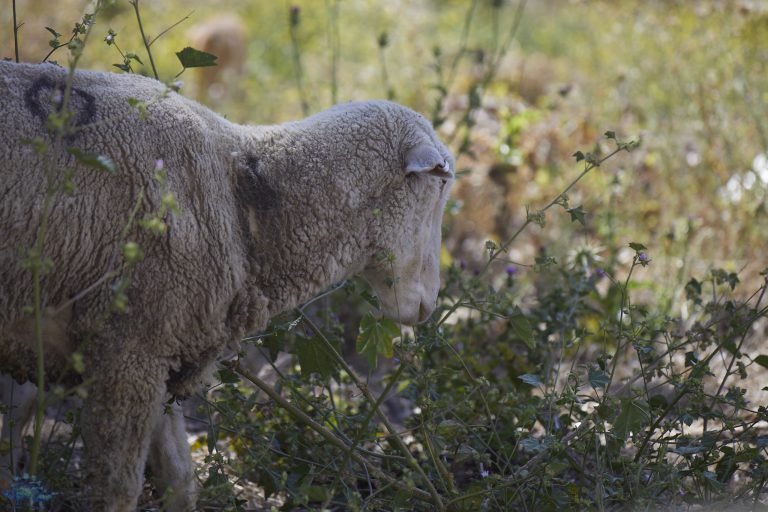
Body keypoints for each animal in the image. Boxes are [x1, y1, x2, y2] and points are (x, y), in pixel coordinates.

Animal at [0, 60, 454, 511]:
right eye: (438, 189)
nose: (429, 304)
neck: (245, 197)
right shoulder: (129, 353)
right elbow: (116, 489)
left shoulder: (163, 348)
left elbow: (180, 480)